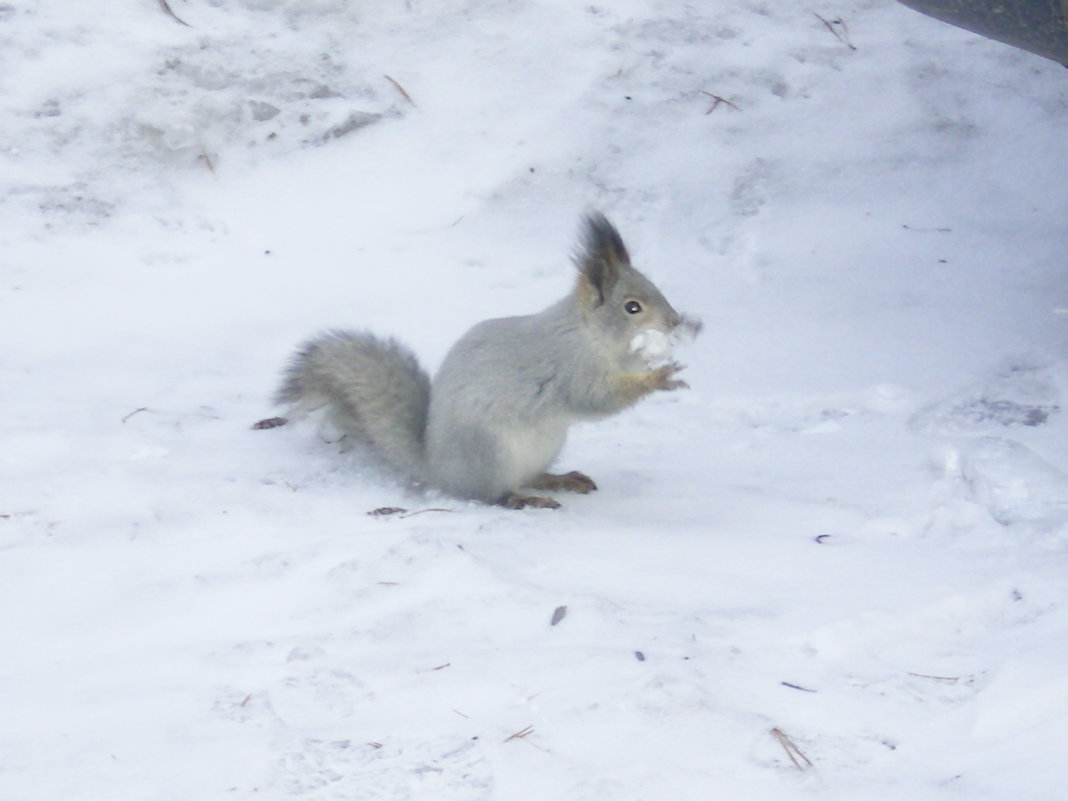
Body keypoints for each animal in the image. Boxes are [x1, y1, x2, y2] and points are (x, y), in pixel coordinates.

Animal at [273, 213, 700, 510]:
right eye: (632, 307)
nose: (675, 321)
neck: (588, 334)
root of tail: (440, 469)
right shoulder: (572, 369)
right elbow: (597, 399)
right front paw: (659, 377)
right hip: (492, 451)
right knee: (491, 494)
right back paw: (524, 499)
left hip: (546, 444)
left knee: (531, 475)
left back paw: (560, 478)